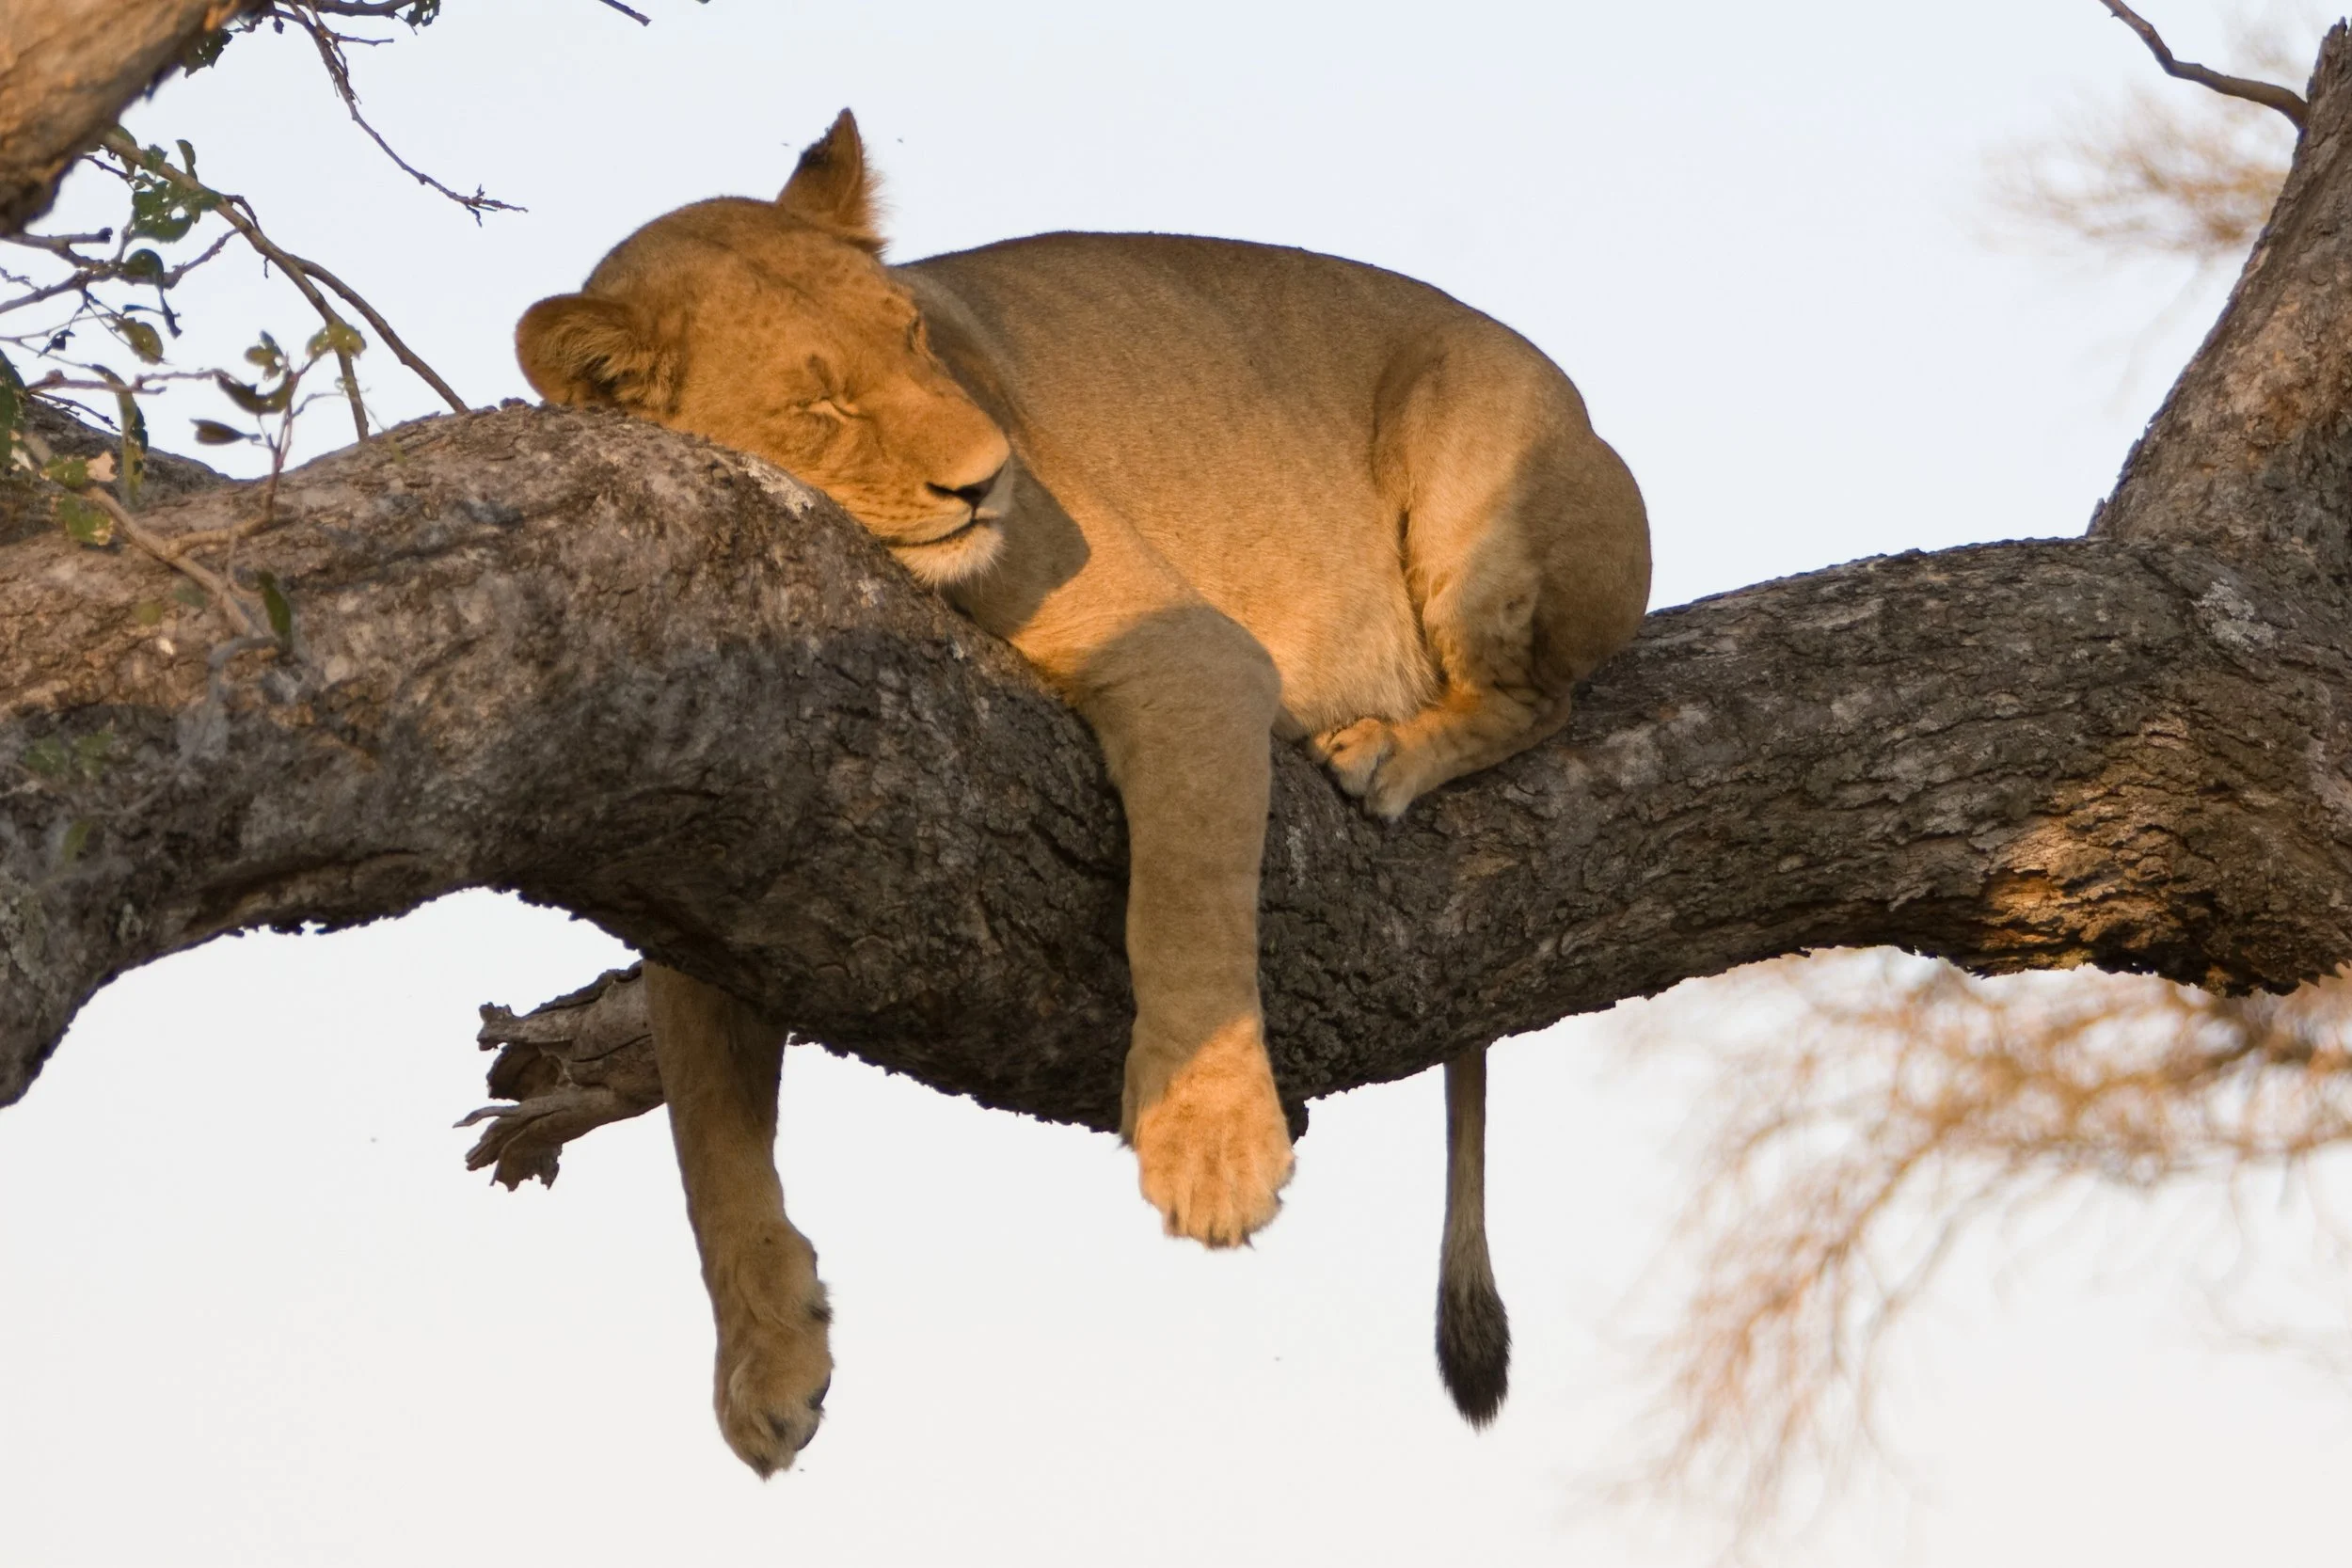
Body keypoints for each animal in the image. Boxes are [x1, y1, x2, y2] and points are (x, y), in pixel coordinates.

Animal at [515, 110, 1650, 1475]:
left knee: (1542, 696)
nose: (989, 477)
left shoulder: (1191, 651)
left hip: (1476, 471)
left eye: (912, 336)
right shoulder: (701, 848)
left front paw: (1213, 1145)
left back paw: (1385, 748)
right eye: (820, 401)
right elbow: (707, 1132)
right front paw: (767, 1360)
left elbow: (1187, 892)